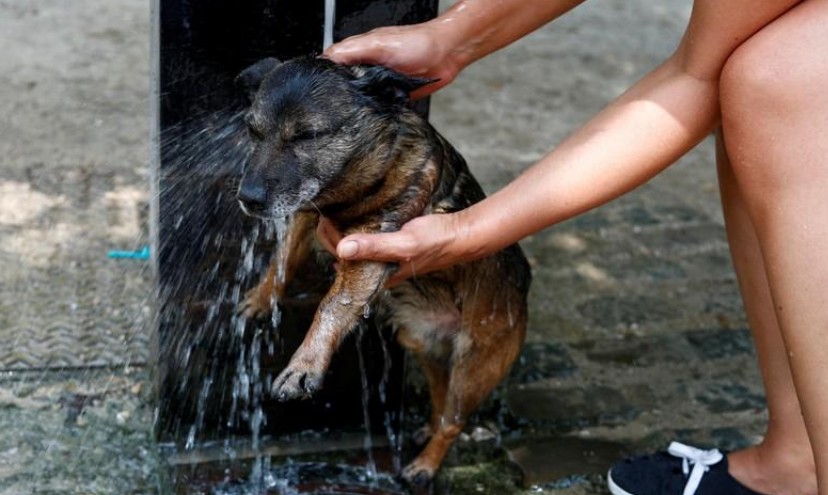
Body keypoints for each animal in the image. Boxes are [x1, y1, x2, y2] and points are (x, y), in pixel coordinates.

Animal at [233, 56, 532, 486]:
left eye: (307, 135)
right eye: (253, 130)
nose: (249, 199)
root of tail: (525, 293)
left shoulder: (372, 246)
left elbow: (332, 304)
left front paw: (304, 365)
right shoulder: (306, 214)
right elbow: (282, 259)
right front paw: (261, 298)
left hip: (475, 367)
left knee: (454, 421)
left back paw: (425, 465)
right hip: (424, 347)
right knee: (440, 401)